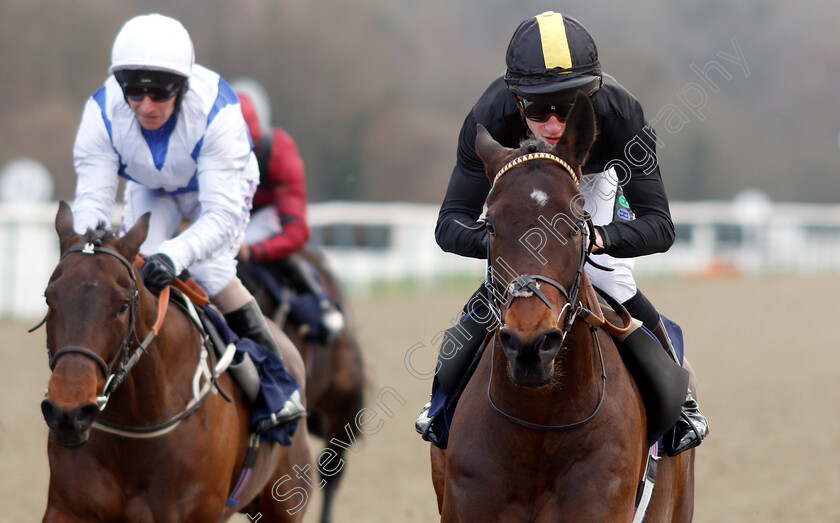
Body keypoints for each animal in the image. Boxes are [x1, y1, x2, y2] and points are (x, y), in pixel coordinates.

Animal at [41, 203, 314, 520]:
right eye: (48, 299)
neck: (137, 422)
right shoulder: (67, 508)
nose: (68, 413)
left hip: (286, 502)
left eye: (123, 305)